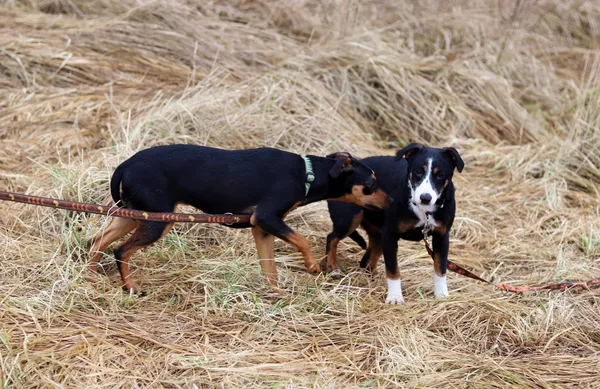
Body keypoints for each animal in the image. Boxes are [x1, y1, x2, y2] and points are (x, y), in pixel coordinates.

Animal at [88, 144, 390, 292]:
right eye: (372, 183)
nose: (392, 202)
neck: (307, 174)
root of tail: (125, 165)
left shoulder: (262, 228)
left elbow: (270, 269)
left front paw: (277, 296)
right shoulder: (267, 218)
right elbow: (302, 240)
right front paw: (313, 266)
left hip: (134, 214)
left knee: (97, 241)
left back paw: (90, 276)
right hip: (158, 220)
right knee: (121, 250)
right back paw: (130, 287)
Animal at [324, 143, 464, 304]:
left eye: (440, 175)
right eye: (418, 171)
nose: (425, 198)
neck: (424, 211)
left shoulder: (442, 236)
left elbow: (440, 268)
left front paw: (441, 295)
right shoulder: (390, 235)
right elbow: (392, 269)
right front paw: (395, 297)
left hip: (378, 235)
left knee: (367, 261)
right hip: (350, 219)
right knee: (332, 238)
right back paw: (332, 267)